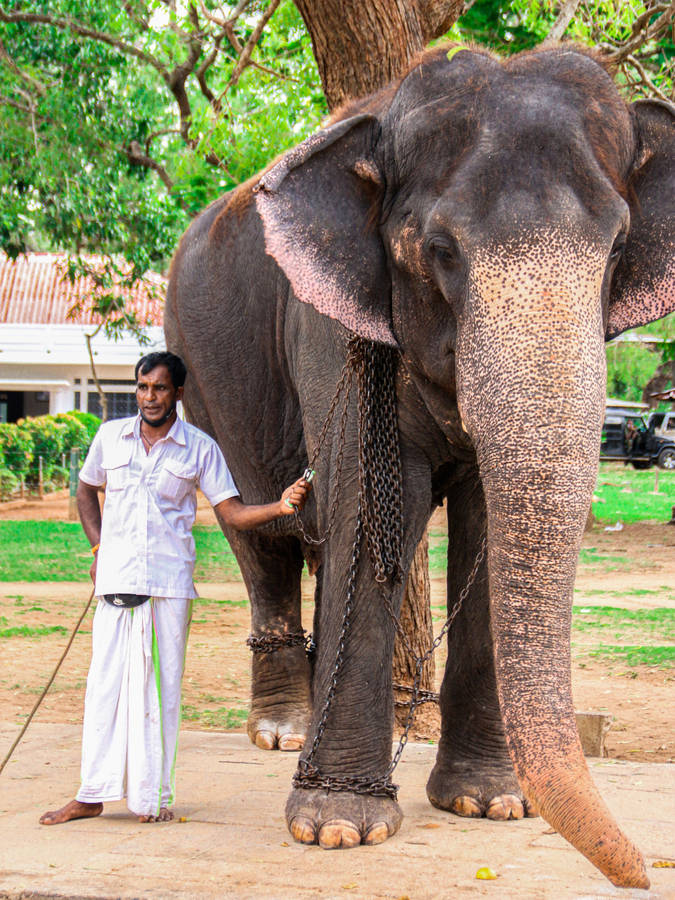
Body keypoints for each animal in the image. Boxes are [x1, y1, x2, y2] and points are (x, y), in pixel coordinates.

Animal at [165, 44, 674, 889]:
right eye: (439, 252)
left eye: (613, 249)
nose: (641, 875)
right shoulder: (329, 325)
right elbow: (369, 502)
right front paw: (337, 828)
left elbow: (483, 519)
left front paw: (490, 804)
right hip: (200, 370)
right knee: (262, 536)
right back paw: (282, 730)